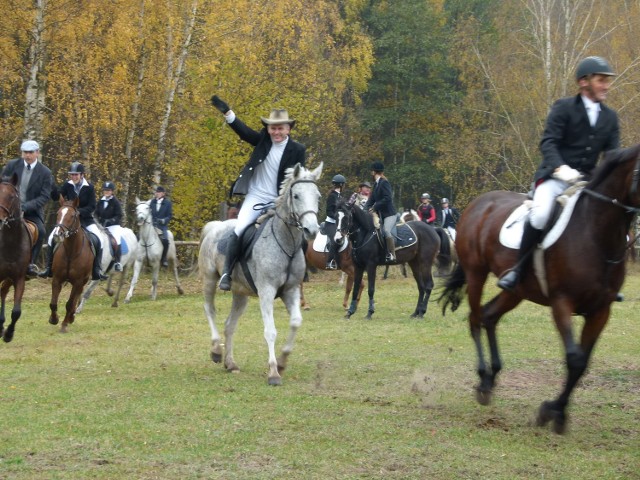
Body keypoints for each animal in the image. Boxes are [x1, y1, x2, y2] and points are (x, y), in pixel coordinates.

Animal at [47, 195, 95, 334]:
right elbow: (53, 303)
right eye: (58, 213)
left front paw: (64, 325)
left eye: (72, 215)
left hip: (82, 281)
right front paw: (54, 319)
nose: (57, 234)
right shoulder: (57, 279)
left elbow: (69, 304)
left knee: (76, 298)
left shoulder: (78, 281)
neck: (71, 251)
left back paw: (71, 317)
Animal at [200, 163, 322, 384]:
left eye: (317, 196)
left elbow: (296, 322)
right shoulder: (267, 291)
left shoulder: (291, 291)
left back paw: (230, 363)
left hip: (240, 294)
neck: (286, 243)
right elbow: (270, 331)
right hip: (209, 280)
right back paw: (215, 350)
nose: (312, 230)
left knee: (229, 325)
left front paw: (282, 363)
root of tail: (216, 226)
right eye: (297, 196)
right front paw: (273, 372)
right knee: (209, 310)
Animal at [438, 145, 640, 436]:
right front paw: (551, 411)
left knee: (489, 315)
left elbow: (582, 364)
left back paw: (493, 375)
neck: (595, 234)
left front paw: (557, 411)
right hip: (476, 274)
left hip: (516, 291)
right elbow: (574, 359)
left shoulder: (601, 311)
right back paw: (483, 379)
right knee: (475, 319)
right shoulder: (562, 303)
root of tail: (479, 202)